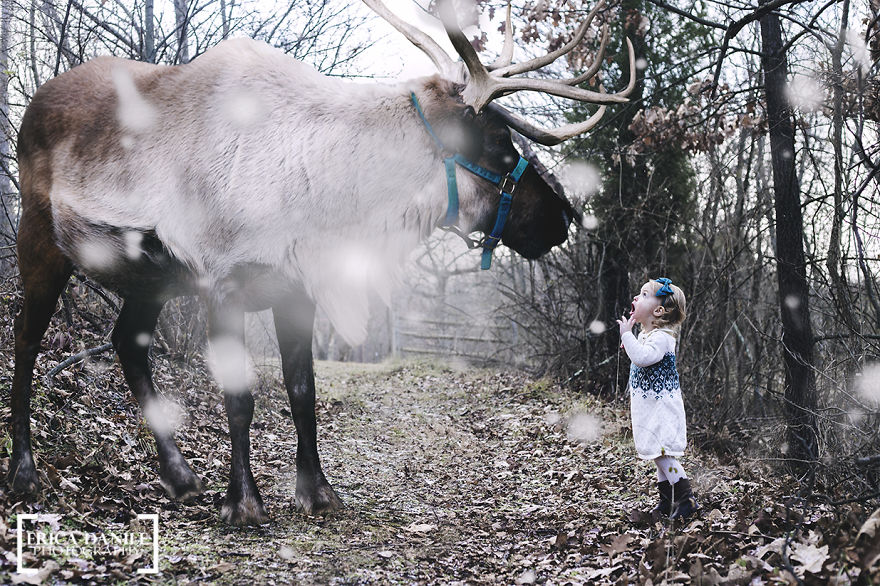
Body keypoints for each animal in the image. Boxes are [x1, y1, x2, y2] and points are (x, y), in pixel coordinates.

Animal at [7, 0, 634, 525]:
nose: (564, 217)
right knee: (26, 338)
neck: (327, 188)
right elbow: (241, 397)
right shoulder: (223, 286)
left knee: (125, 341)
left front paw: (317, 491)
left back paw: (180, 476)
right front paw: (245, 503)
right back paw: (24, 471)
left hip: (149, 279)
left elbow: (302, 390)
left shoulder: (295, 291)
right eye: (501, 145)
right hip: (41, 239)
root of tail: (36, 101)